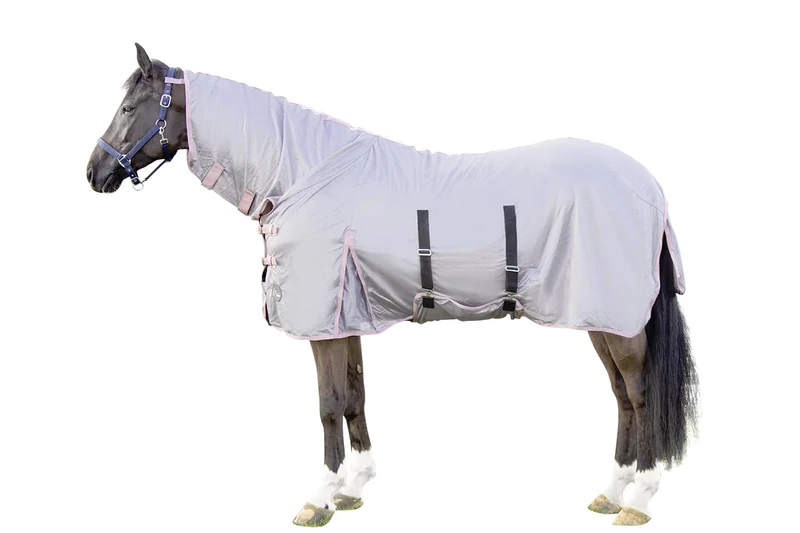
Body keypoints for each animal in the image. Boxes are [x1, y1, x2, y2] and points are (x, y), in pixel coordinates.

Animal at [86, 43, 699, 527]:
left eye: (128, 108)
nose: (93, 173)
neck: (304, 173)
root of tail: (650, 188)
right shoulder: (345, 316)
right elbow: (354, 396)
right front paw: (354, 487)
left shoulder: (323, 325)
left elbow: (328, 403)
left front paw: (320, 497)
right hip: (601, 316)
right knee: (622, 397)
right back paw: (611, 491)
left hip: (620, 322)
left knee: (640, 396)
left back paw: (639, 498)